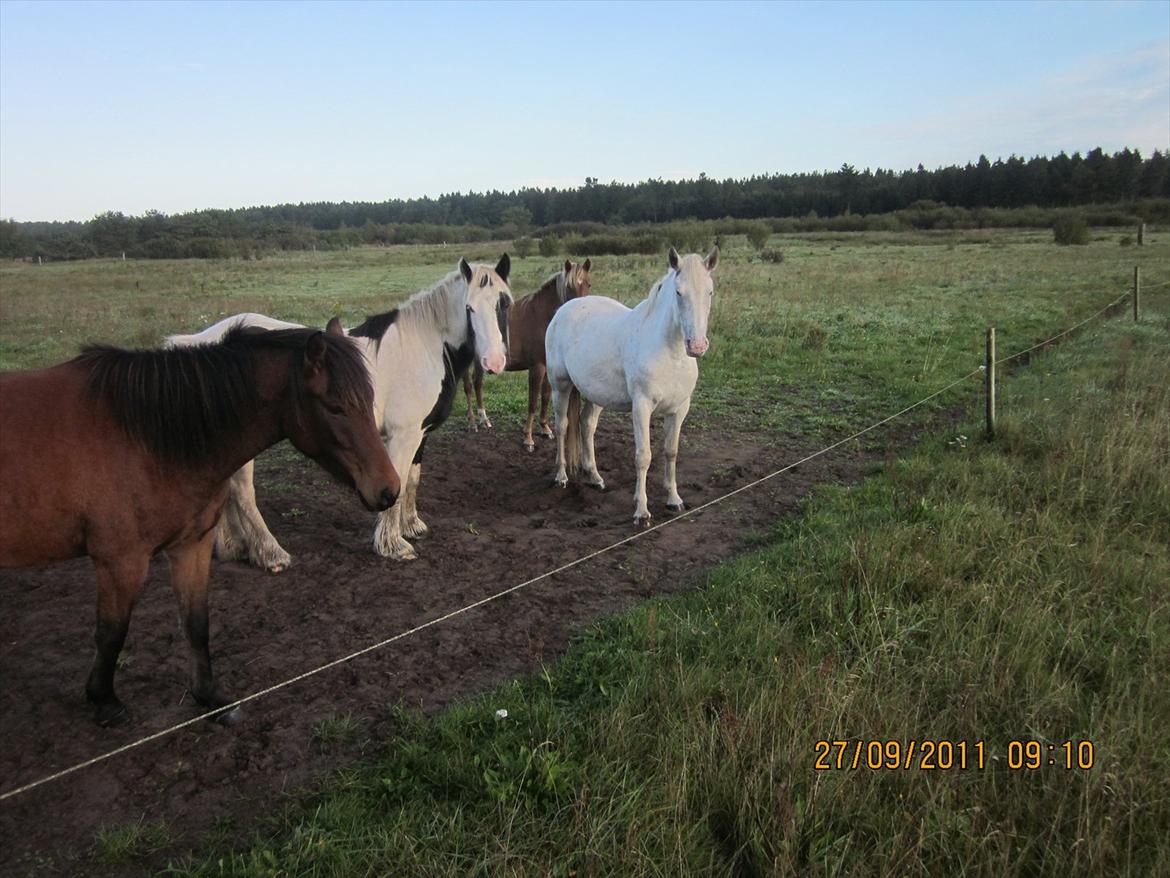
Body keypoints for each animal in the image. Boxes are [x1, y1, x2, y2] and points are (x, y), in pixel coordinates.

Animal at [0, 320, 400, 725]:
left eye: (369, 399)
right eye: (335, 407)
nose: (389, 489)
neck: (145, 436)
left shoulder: (190, 545)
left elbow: (196, 624)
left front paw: (210, 697)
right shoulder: (120, 561)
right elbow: (111, 634)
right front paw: (104, 701)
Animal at [167, 257, 510, 566]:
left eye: (503, 304)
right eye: (469, 308)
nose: (493, 362)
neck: (424, 345)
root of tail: (199, 341)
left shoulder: (420, 434)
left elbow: (412, 479)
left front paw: (411, 527)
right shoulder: (403, 435)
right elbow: (398, 483)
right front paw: (392, 545)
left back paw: (232, 547)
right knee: (242, 492)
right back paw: (270, 554)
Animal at [460, 254, 594, 447]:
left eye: (588, 284)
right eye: (569, 287)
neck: (543, 318)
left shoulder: (548, 366)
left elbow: (545, 397)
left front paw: (545, 429)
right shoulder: (537, 367)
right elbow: (532, 401)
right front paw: (528, 438)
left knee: (477, 383)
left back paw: (484, 420)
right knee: (468, 387)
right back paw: (472, 423)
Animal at [545, 244, 716, 526]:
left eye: (710, 292)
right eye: (679, 292)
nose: (697, 346)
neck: (670, 352)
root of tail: (564, 309)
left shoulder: (679, 409)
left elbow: (671, 451)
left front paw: (674, 500)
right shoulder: (642, 407)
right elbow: (643, 456)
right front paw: (641, 511)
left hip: (595, 395)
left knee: (586, 426)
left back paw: (594, 477)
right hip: (561, 386)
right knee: (562, 426)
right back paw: (561, 477)